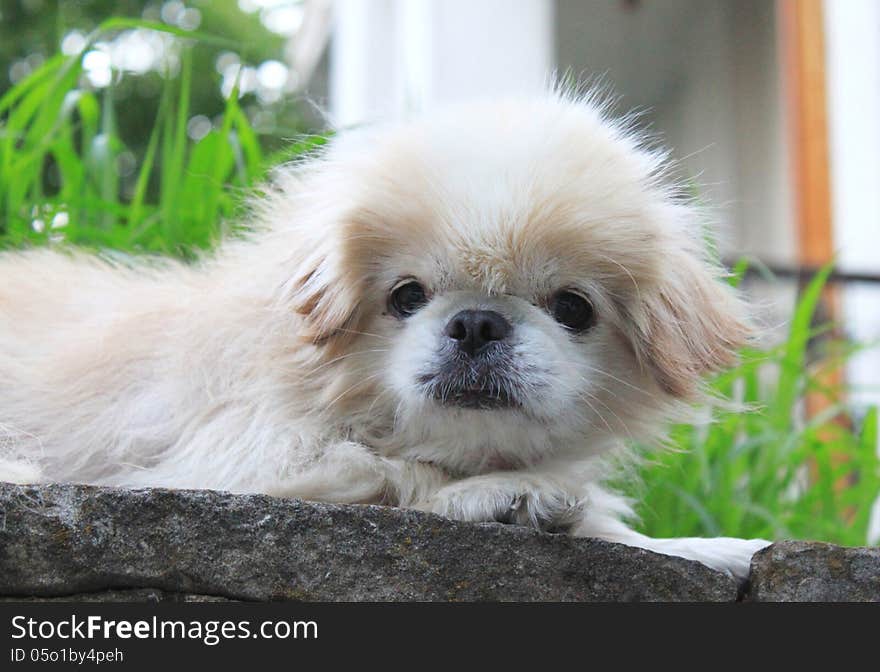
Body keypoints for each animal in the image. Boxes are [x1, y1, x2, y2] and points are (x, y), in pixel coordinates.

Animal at [0, 93, 768, 576]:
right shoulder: (228, 462)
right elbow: (391, 471)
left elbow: (631, 536)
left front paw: (720, 550)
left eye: (573, 308)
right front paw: (502, 495)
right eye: (406, 297)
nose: (477, 320)